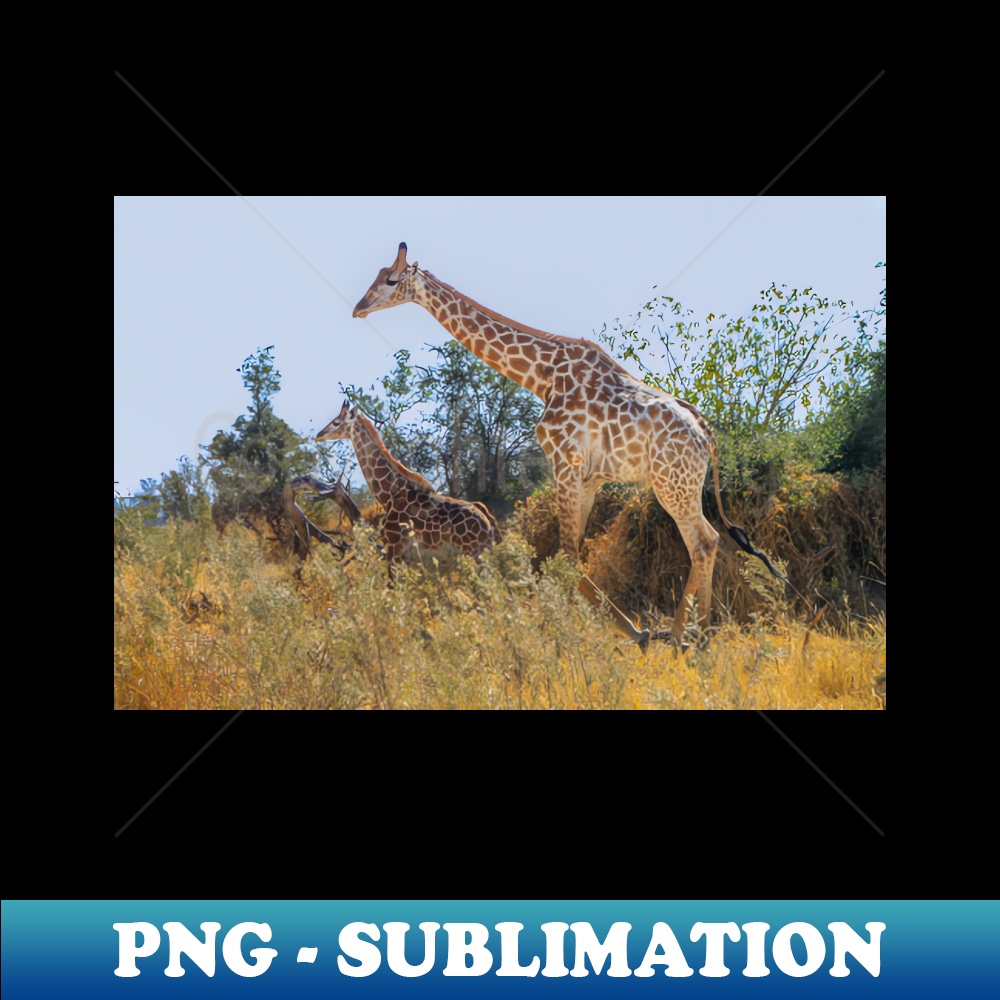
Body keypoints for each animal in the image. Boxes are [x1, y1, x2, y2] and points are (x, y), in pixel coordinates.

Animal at [316, 400, 501, 564]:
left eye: (336, 422)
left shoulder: (395, 548)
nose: (318, 435)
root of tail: (490, 522)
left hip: (475, 553)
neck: (391, 494)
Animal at [352, 243, 782, 648]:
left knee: (704, 542)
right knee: (708, 541)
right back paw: (692, 634)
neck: (541, 376)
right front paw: (632, 632)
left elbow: (565, 557)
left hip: (672, 485)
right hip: (683, 486)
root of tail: (706, 435)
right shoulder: (588, 476)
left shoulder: (564, 462)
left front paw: (581, 634)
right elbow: (571, 555)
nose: (359, 308)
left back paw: (689, 637)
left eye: (391, 280)